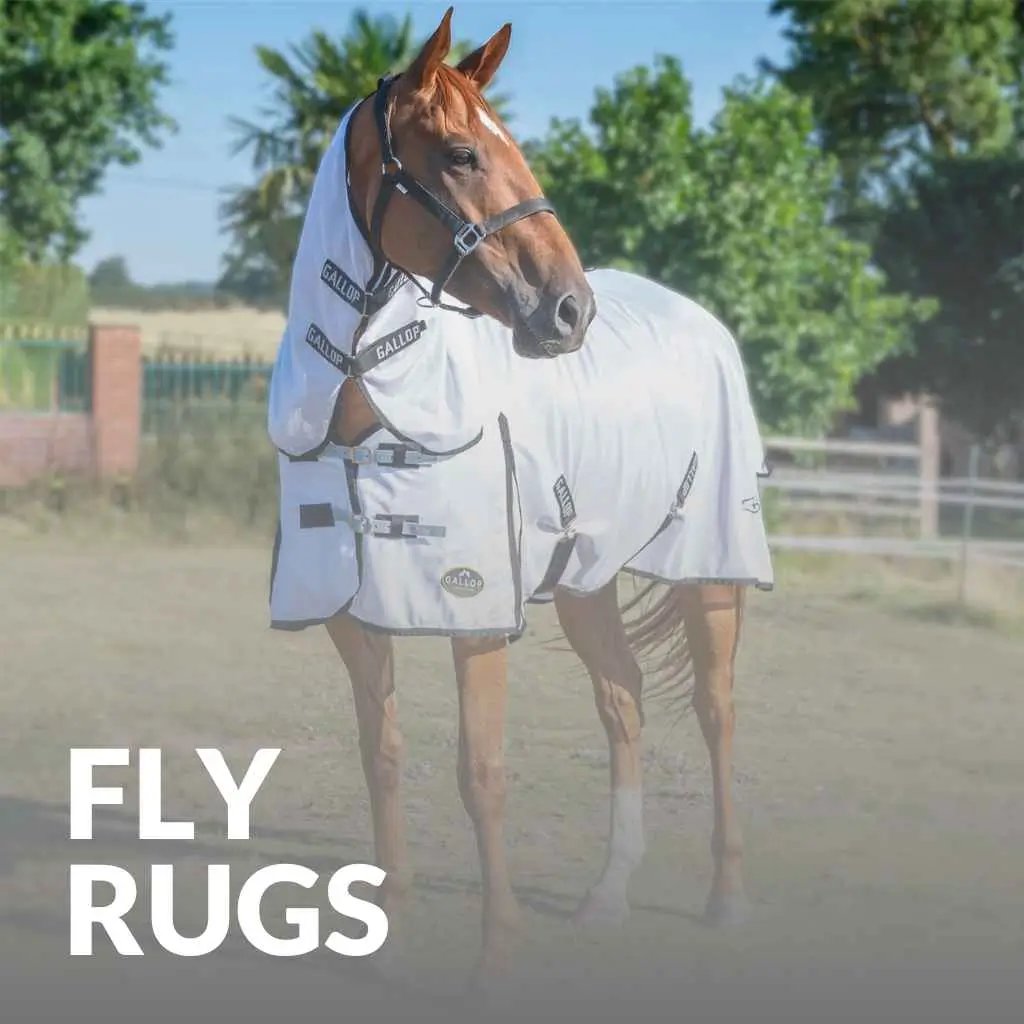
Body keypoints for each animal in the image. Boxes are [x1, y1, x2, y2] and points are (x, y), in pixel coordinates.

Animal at [268, 9, 772, 982]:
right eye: (462, 154)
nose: (571, 311)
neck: (370, 401)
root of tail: (700, 319)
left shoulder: (474, 607)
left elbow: (481, 772)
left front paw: (497, 949)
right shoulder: (352, 615)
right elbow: (382, 755)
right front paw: (390, 932)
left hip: (711, 567)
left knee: (718, 711)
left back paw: (729, 899)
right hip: (585, 577)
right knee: (623, 702)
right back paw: (607, 896)